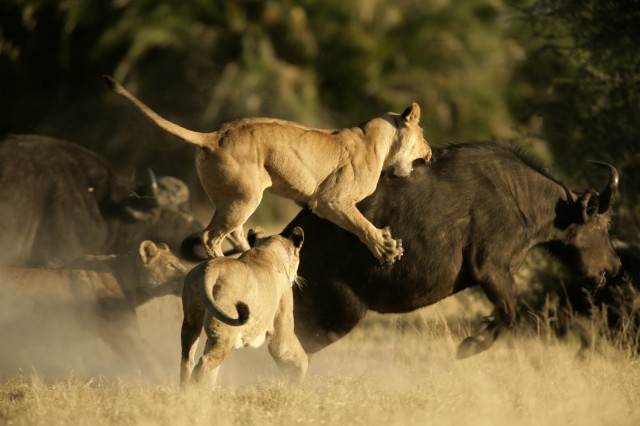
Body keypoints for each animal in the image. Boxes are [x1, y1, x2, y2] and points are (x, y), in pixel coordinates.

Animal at [104, 75, 432, 264]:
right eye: (423, 134)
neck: (376, 139)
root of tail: (213, 135)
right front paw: (386, 248)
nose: (429, 155)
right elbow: (362, 224)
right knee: (211, 237)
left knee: (231, 234)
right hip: (246, 197)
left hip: (235, 199)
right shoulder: (329, 201)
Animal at [180, 226, 306, 388]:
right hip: (225, 333)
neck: (268, 249)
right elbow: (299, 358)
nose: (296, 277)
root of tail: (210, 268)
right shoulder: (282, 334)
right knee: (204, 363)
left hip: (192, 322)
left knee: (188, 360)